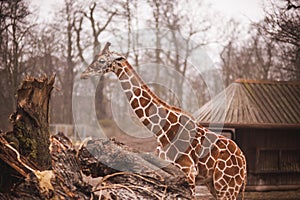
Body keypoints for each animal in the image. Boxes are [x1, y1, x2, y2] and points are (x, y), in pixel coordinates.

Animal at [81, 43, 247, 199]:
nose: (84, 73)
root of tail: (244, 163)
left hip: (226, 185)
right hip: (214, 184)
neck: (161, 130)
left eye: (102, 60)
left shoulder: (188, 171)